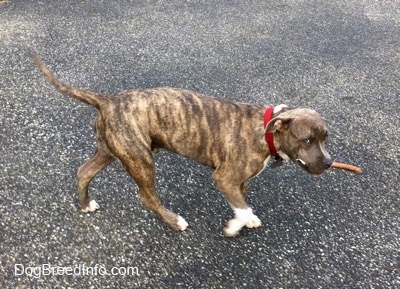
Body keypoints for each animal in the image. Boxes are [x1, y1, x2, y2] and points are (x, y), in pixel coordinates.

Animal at [32, 56, 332, 236]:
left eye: (325, 138)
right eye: (307, 140)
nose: (329, 163)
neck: (266, 130)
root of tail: (106, 100)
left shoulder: (241, 180)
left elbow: (242, 203)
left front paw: (244, 219)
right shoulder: (224, 178)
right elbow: (242, 207)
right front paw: (235, 225)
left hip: (111, 150)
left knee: (84, 172)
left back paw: (85, 205)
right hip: (140, 159)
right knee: (147, 197)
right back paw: (174, 221)